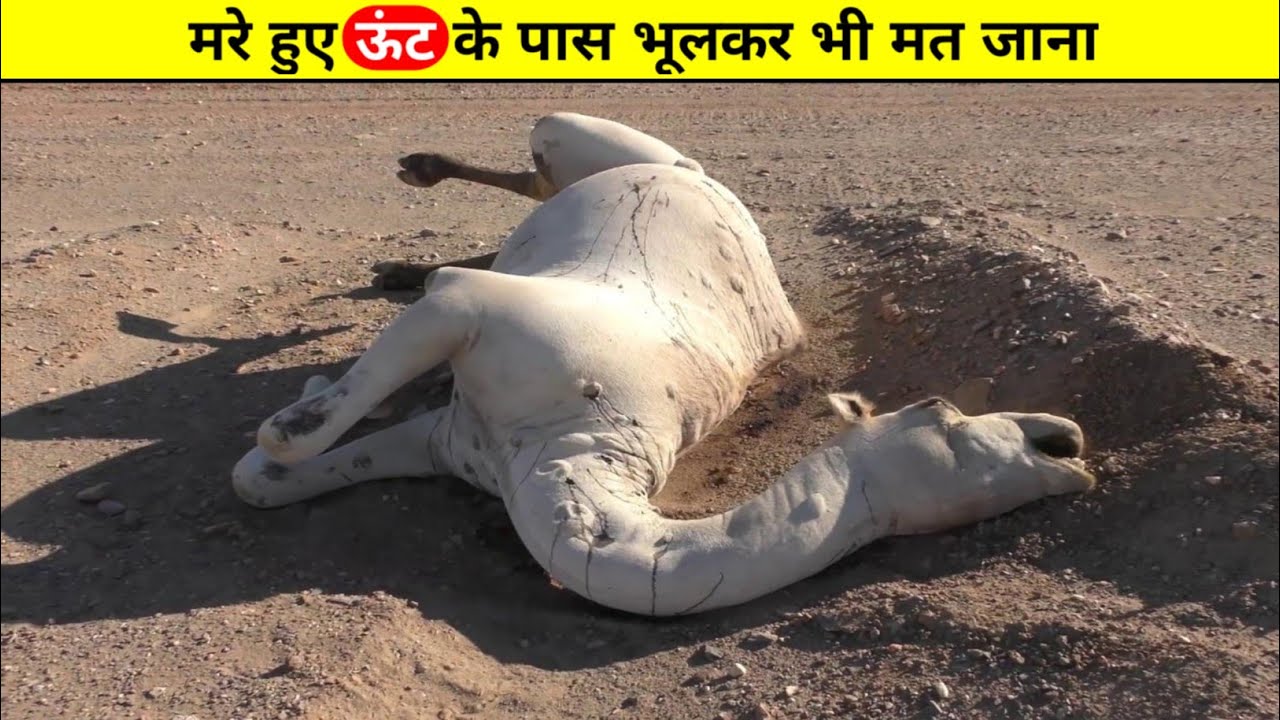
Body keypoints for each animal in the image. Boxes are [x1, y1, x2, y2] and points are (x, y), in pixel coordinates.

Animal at [233, 113, 1096, 616]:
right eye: (940, 411)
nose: (1067, 442)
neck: (573, 444)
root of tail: (708, 185)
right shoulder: (473, 312)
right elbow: (291, 439)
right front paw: (310, 391)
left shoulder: (448, 440)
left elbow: (268, 473)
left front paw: (309, 402)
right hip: (592, 141)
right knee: (545, 154)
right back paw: (416, 178)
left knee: (540, 185)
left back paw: (398, 257)